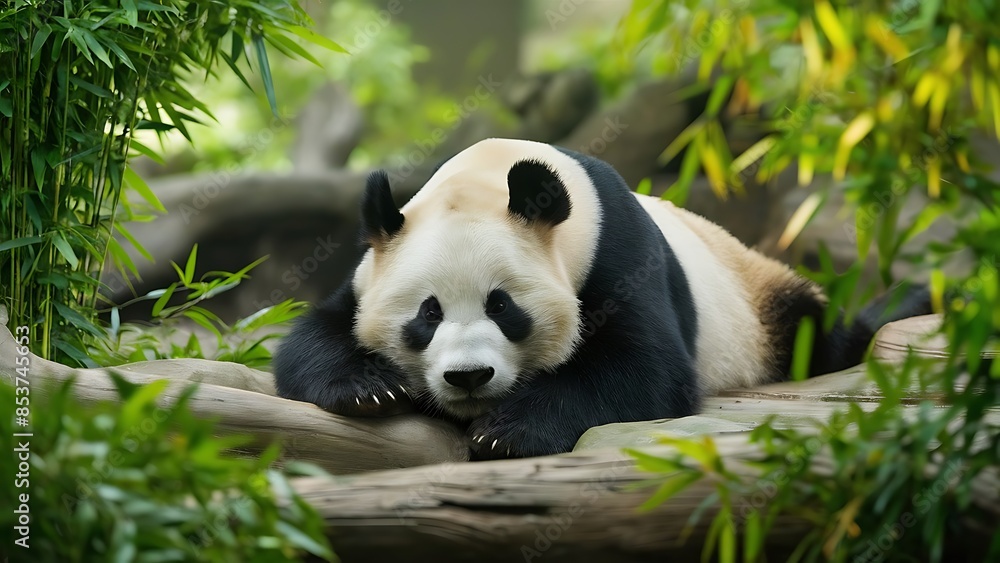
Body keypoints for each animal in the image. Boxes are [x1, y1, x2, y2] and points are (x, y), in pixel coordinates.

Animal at [273, 137, 928, 460]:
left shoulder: (618, 253)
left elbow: (643, 368)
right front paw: (369, 387)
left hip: (759, 299)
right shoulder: (369, 271)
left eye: (502, 307)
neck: (492, 175)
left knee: (820, 331)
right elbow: (313, 333)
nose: (468, 378)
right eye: (426, 315)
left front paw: (508, 432)